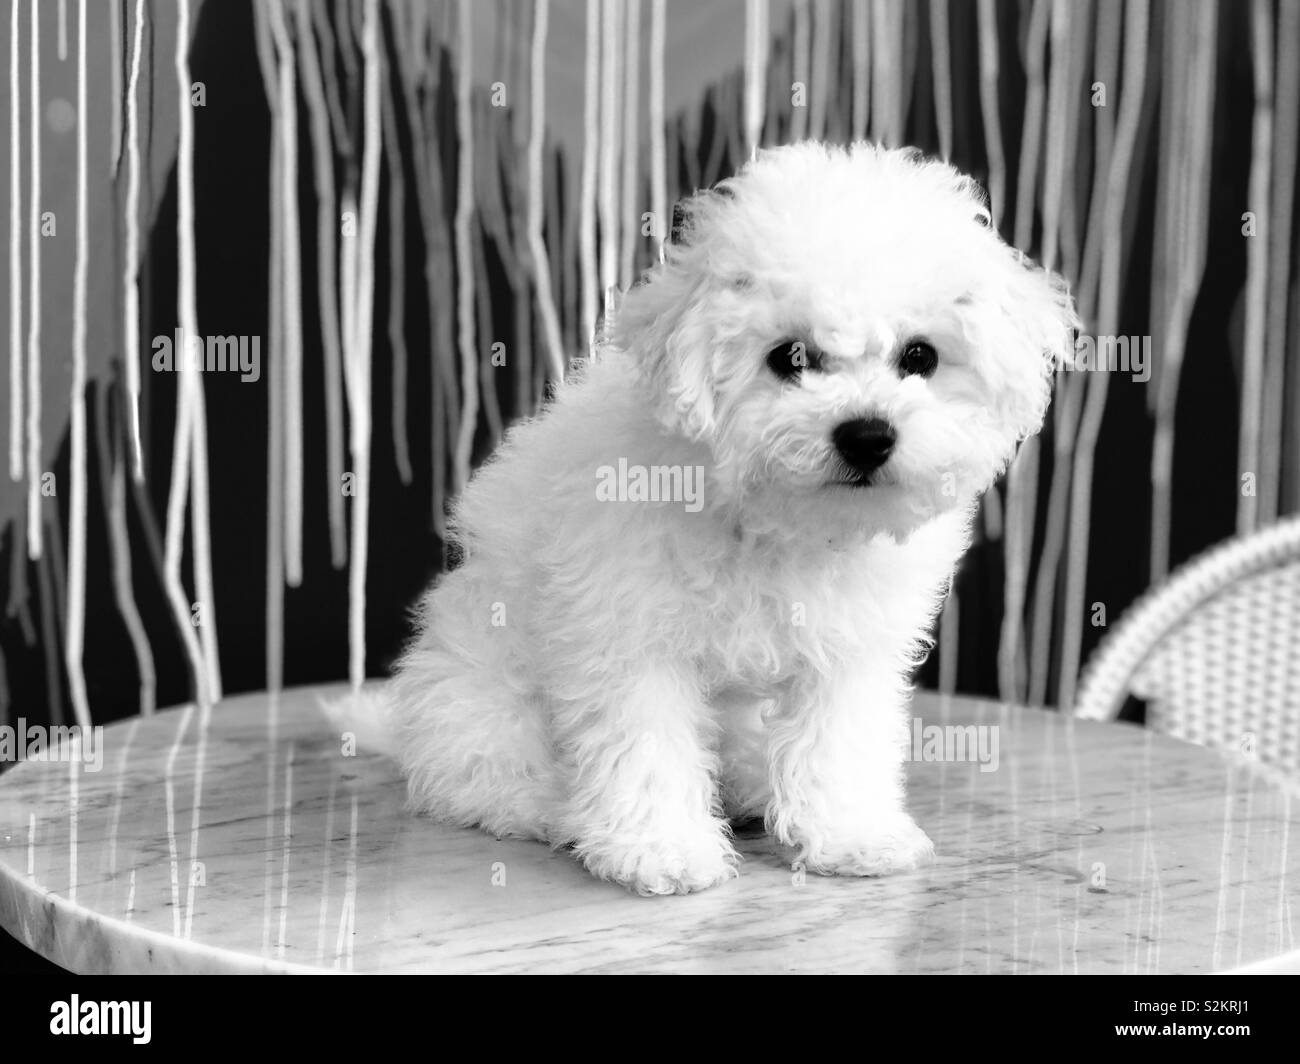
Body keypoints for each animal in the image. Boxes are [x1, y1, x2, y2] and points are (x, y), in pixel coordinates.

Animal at [379, 139, 1071, 889]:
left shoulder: (848, 646)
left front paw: (849, 834)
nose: (866, 434)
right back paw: (560, 808)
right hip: (481, 706)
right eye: (789, 357)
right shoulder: (629, 634)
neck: (775, 524)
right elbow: (645, 743)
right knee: (486, 777)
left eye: (920, 356)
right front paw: (662, 847)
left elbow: (838, 739)